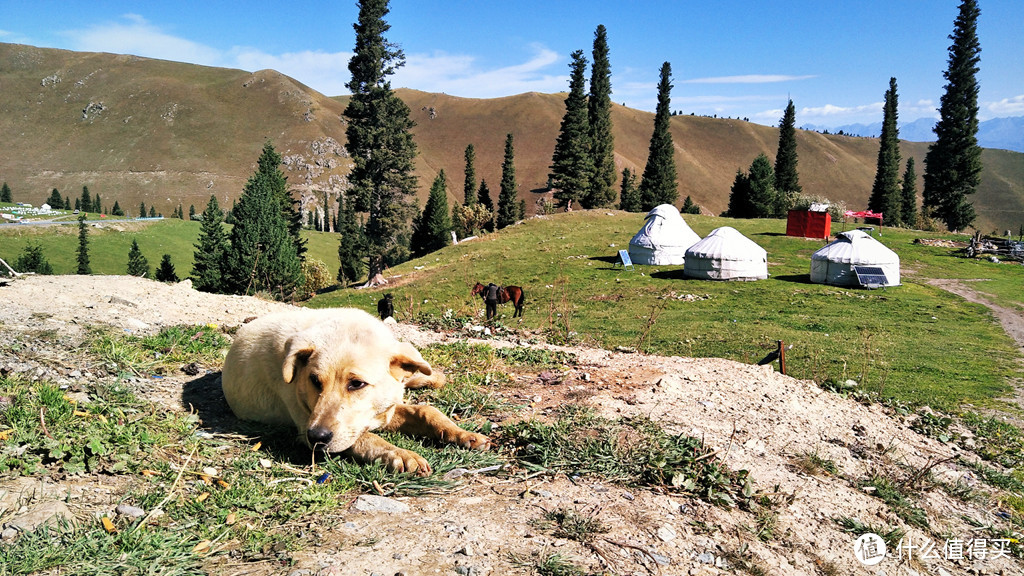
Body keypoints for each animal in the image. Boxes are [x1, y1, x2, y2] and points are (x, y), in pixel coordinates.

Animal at [221, 307, 491, 473]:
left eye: (357, 383)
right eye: (314, 381)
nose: (316, 437)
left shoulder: (385, 410)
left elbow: (426, 411)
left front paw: (464, 434)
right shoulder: (308, 424)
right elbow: (366, 438)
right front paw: (402, 455)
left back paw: (431, 377)